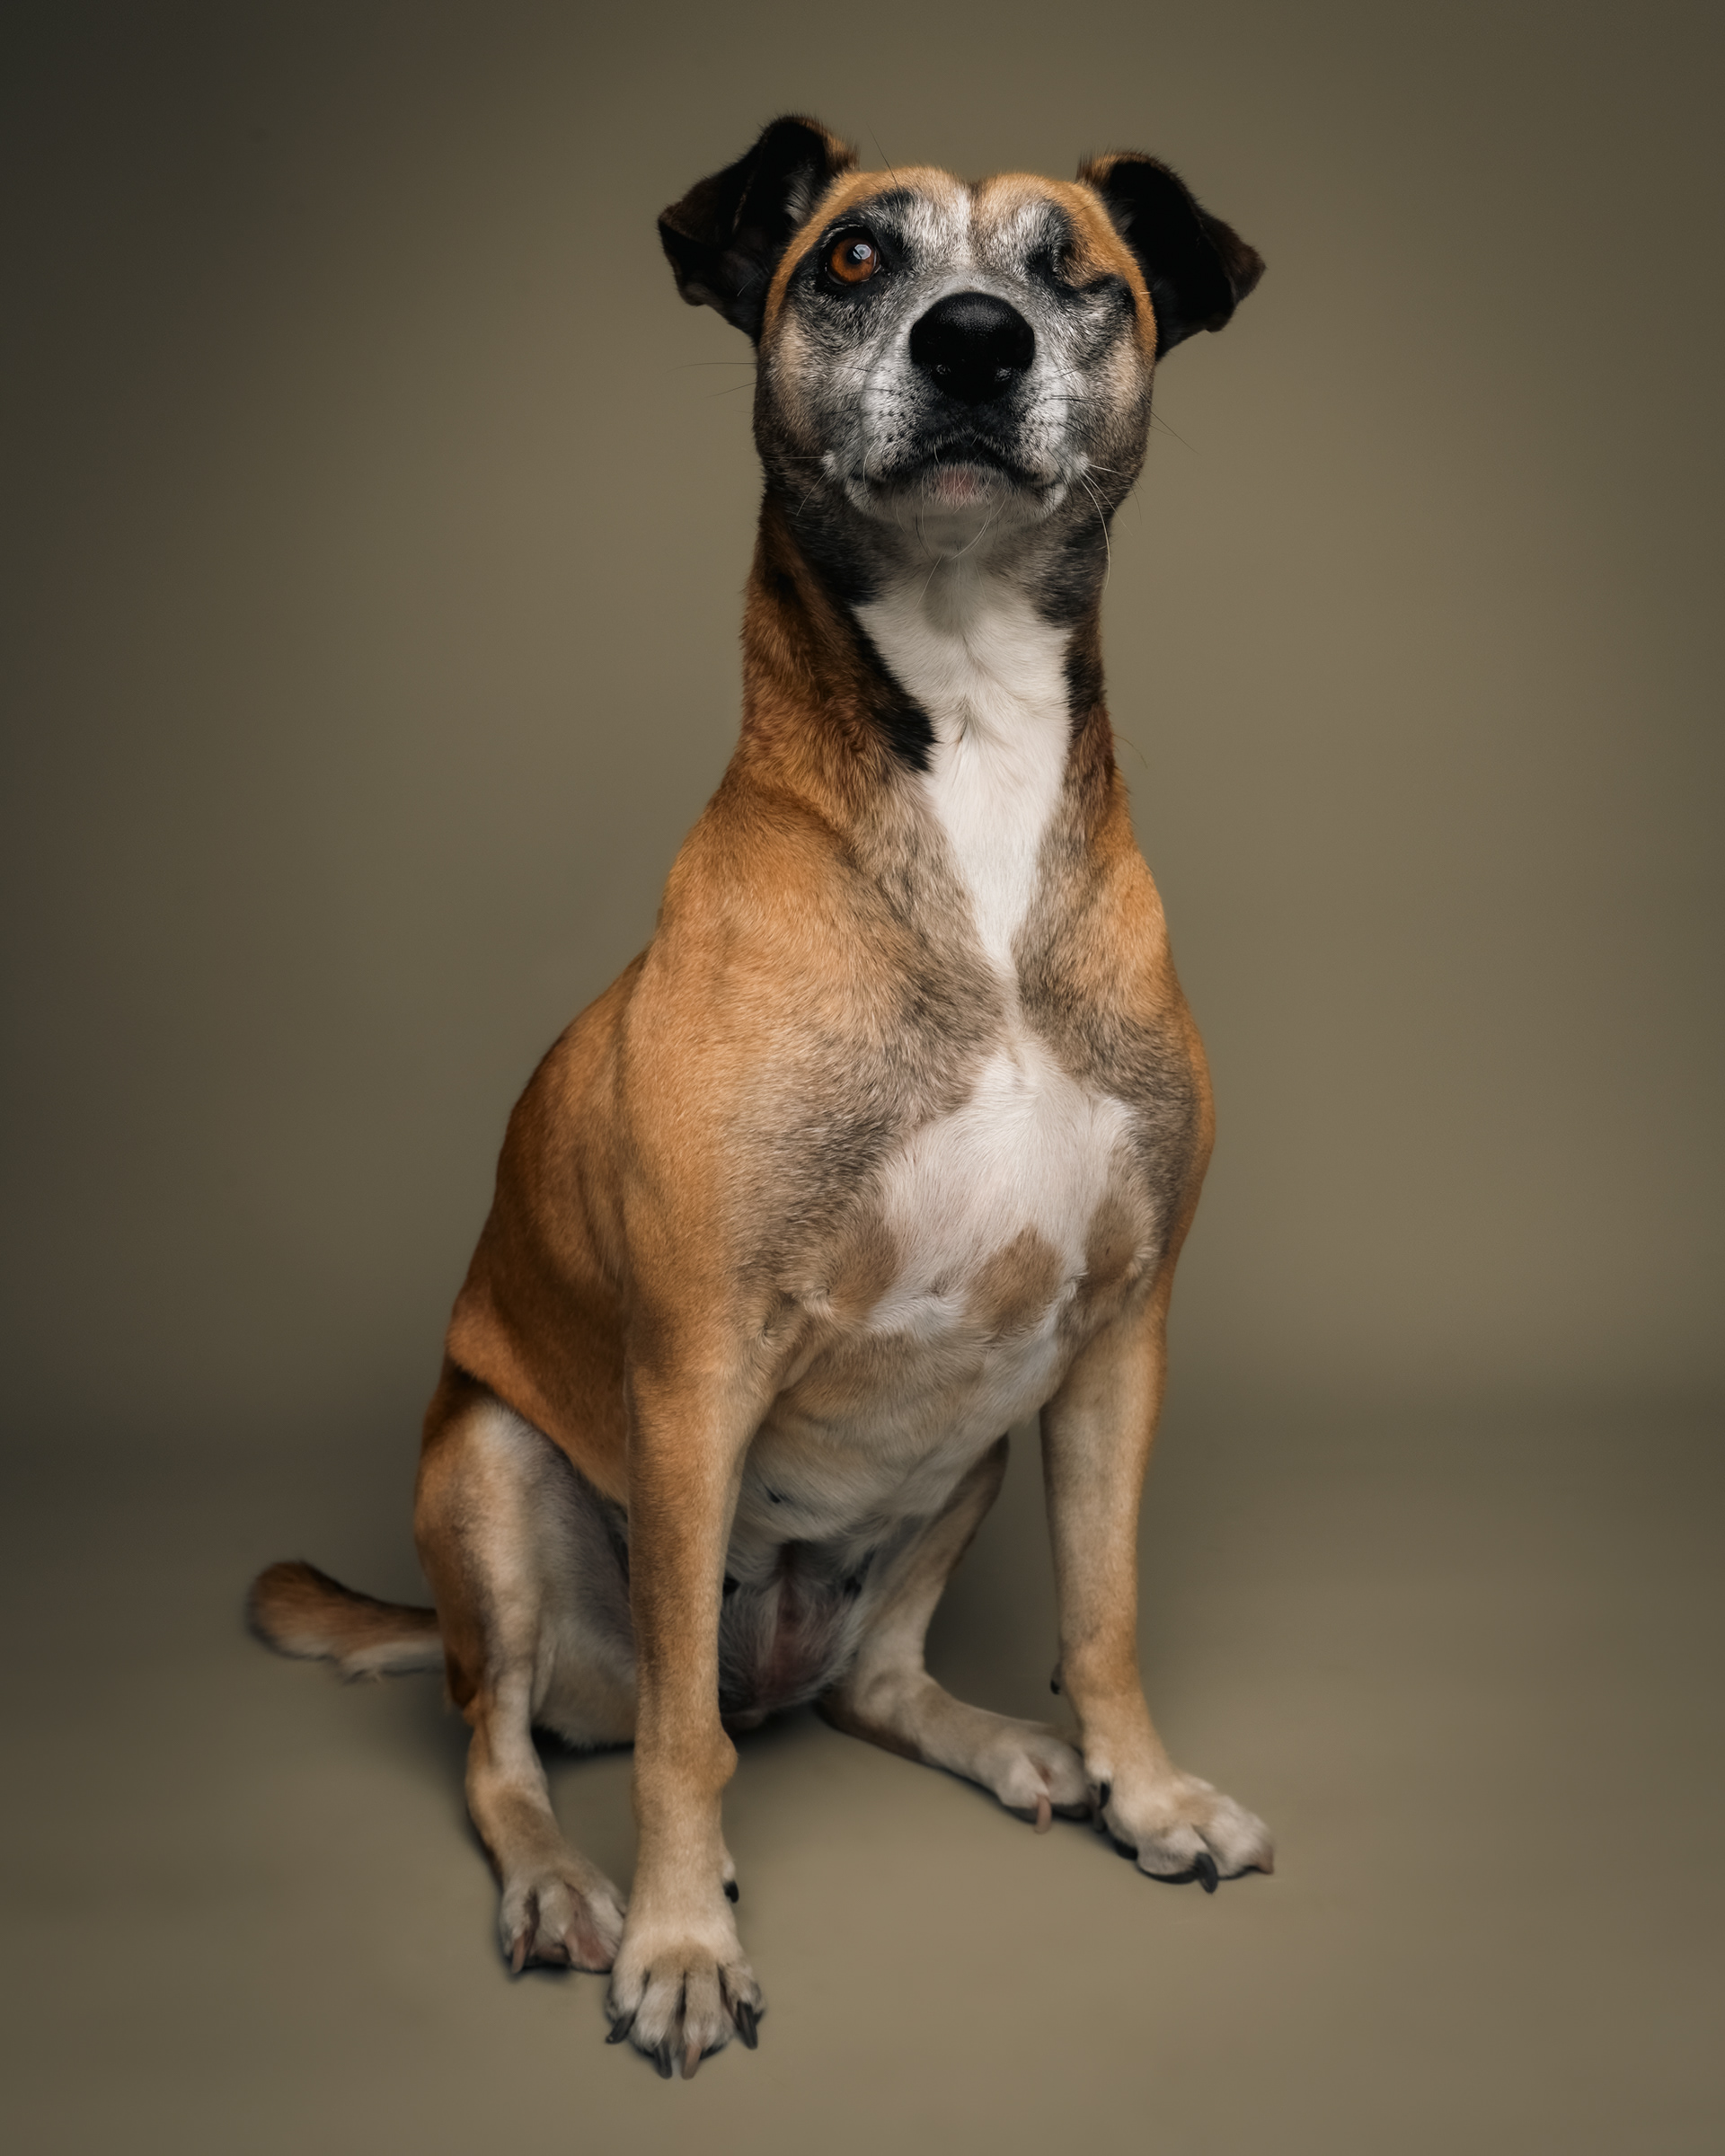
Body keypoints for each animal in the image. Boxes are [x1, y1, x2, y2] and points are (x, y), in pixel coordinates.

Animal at [250, 115, 1271, 2079]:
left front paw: (1151, 1793)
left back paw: (1011, 1749)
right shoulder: (698, 1359)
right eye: (854, 261)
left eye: (1077, 272)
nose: (975, 341)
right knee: (521, 1750)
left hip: (967, 1450)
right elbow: (675, 1747)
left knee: (868, 1684)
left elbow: (1104, 1614)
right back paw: (567, 1891)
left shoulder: (1119, 1335)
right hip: (494, 1475)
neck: (971, 757)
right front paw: (678, 1942)